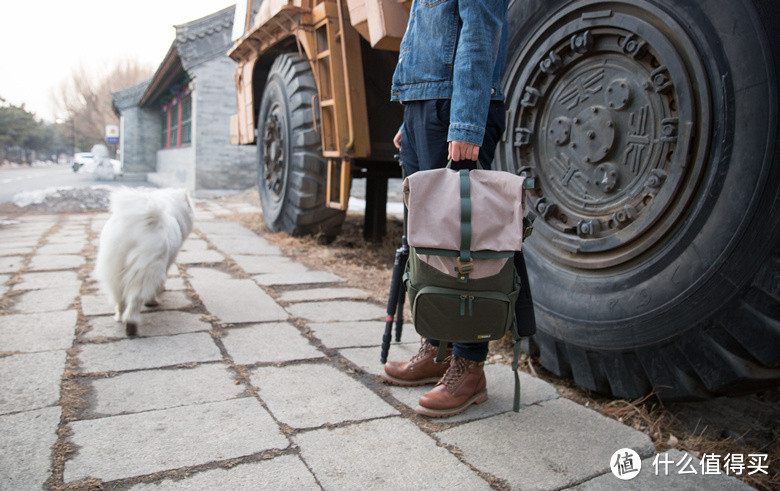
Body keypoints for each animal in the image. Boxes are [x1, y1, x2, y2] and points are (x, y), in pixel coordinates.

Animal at [95, 186, 193, 336]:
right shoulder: (166, 263)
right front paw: (155, 297)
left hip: (114, 271)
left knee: (120, 298)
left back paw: (120, 317)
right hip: (145, 269)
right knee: (135, 299)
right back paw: (132, 323)